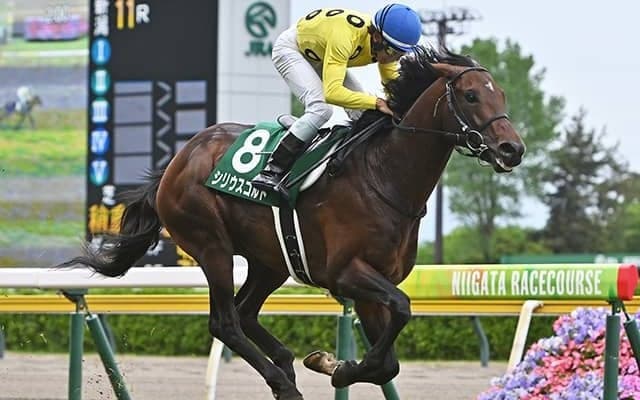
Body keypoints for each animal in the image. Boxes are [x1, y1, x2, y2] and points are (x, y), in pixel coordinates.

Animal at [58, 46, 525, 400]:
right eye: (470, 96)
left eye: (501, 94)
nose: (512, 149)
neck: (384, 175)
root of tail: (179, 158)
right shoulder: (345, 273)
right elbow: (402, 310)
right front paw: (337, 368)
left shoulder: (375, 281)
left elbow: (389, 358)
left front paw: (331, 363)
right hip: (211, 246)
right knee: (225, 322)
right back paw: (282, 381)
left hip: (270, 260)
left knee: (245, 313)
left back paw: (285, 364)